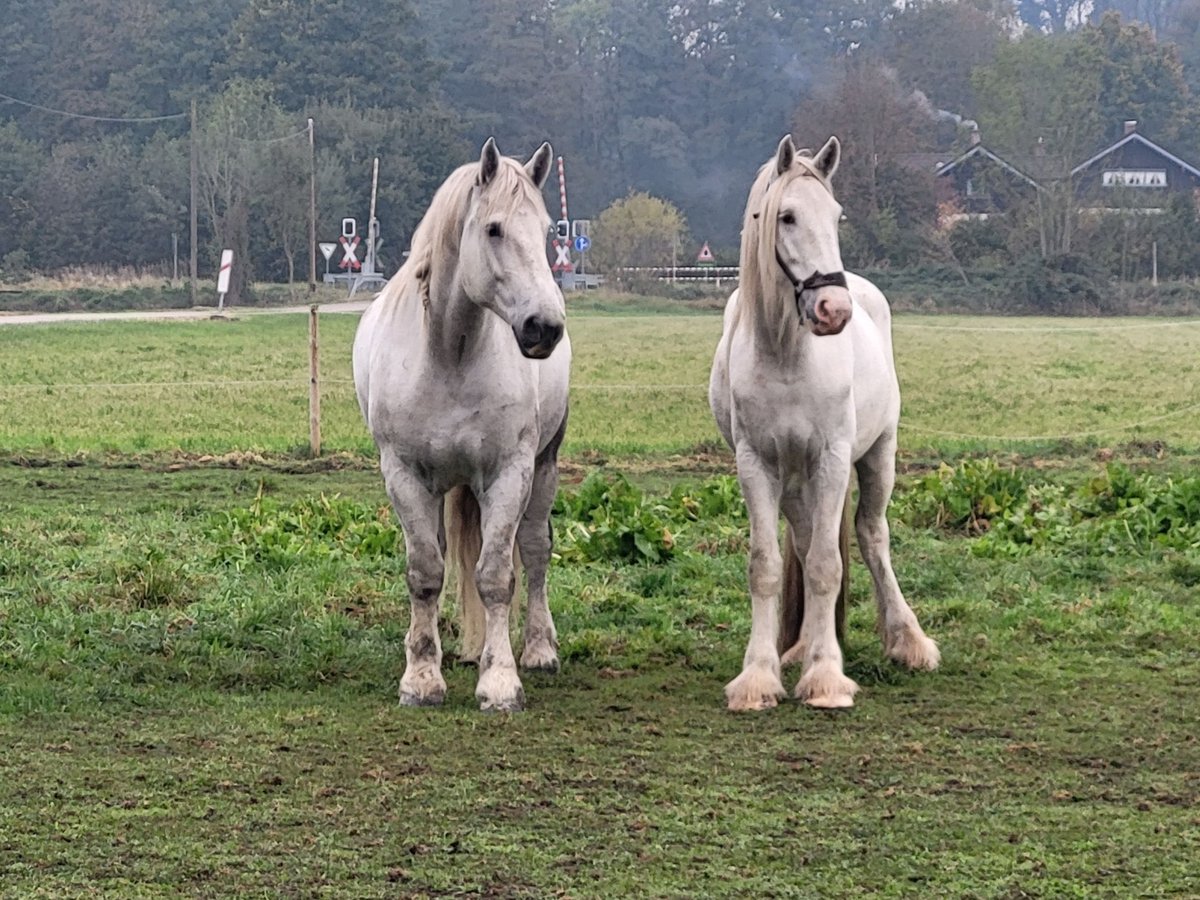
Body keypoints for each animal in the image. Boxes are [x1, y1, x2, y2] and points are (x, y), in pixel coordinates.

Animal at [350, 139, 571, 710]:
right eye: (493, 229)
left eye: (547, 232)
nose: (544, 327)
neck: (449, 354)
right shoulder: (404, 476)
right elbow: (426, 573)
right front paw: (422, 677)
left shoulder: (509, 473)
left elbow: (496, 576)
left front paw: (500, 682)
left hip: (545, 466)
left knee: (535, 551)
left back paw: (539, 648)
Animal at [705, 135, 940, 710]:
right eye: (786, 216)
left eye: (836, 216)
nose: (834, 309)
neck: (788, 356)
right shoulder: (756, 465)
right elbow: (768, 565)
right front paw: (760, 676)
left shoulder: (832, 459)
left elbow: (827, 565)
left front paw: (828, 677)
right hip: (794, 481)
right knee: (808, 537)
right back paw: (802, 647)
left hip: (877, 457)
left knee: (870, 535)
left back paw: (907, 639)